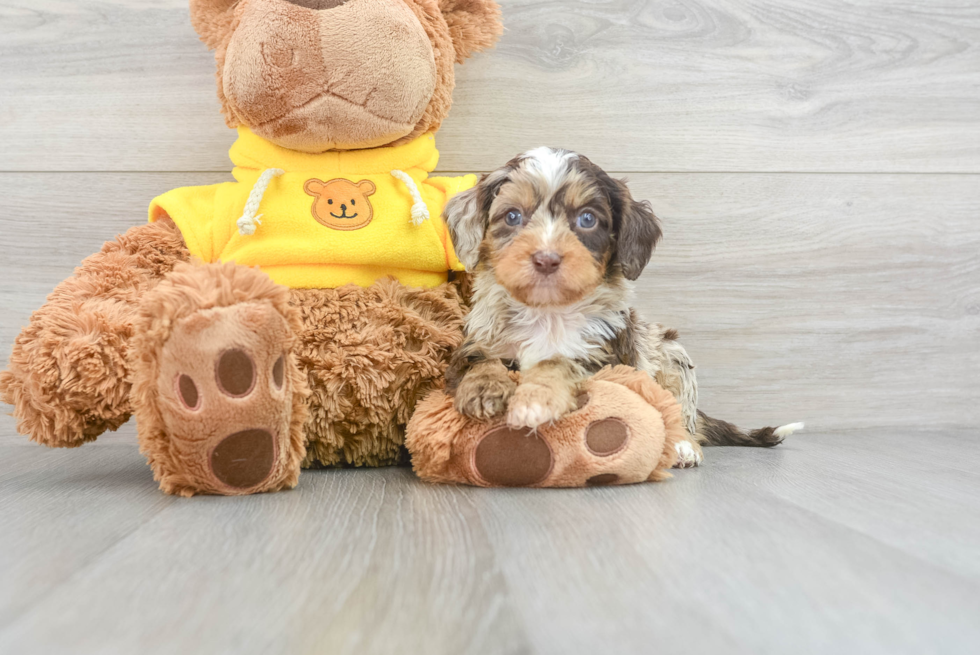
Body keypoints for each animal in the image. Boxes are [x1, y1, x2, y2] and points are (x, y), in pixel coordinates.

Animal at [444, 149, 804, 466]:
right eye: (512, 216)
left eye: (587, 218)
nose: (546, 259)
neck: (548, 312)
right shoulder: (473, 346)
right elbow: (481, 362)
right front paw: (484, 388)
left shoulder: (607, 361)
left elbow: (559, 363)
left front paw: (536, 399)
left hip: (672, 355)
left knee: (679, 413)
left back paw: (682, 446)